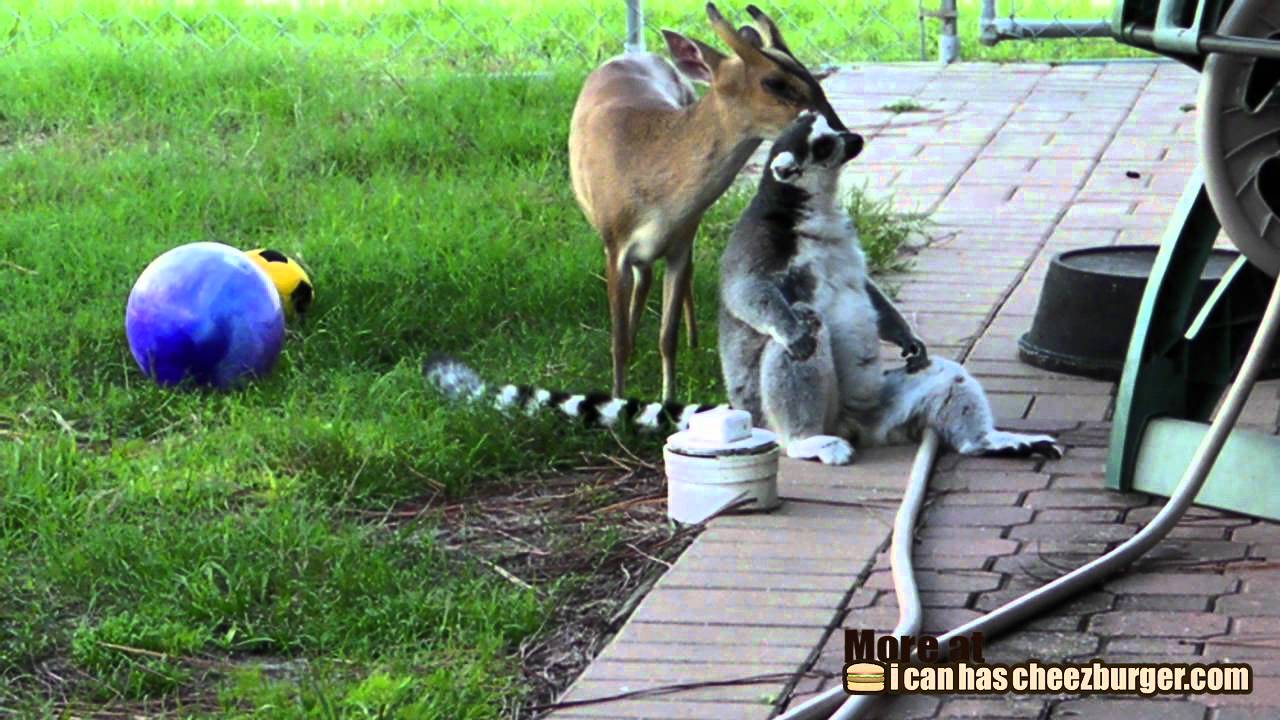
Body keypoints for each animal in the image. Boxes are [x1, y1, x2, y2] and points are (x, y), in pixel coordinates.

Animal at [568, 2, 854, 403]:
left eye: (811, 76)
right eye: (775, 83)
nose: (843, 132)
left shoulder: (680, 241)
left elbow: (667, 335)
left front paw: (669, 398)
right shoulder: (614, 244)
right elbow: (618, 342)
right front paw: (619, 397)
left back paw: (692, 339)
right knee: (643, 280)